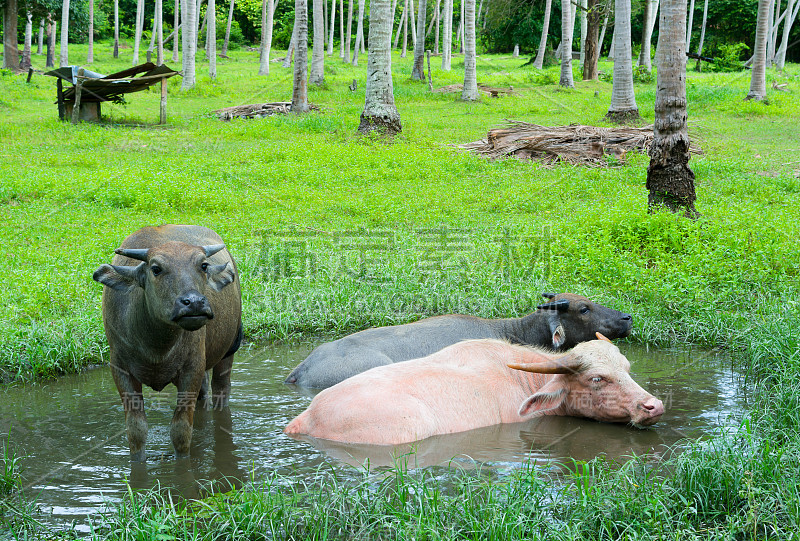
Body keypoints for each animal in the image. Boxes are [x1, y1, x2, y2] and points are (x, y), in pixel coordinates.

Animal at [93, 224, 241, 460]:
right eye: (156, 269)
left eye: (203, 265)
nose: (194, 303)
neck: (156, 347)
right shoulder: (120, 370)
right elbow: (136, 431)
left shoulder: (192, 368)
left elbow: (181, 431)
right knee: (204, 395)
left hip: (229, 349)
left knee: (221, 392)